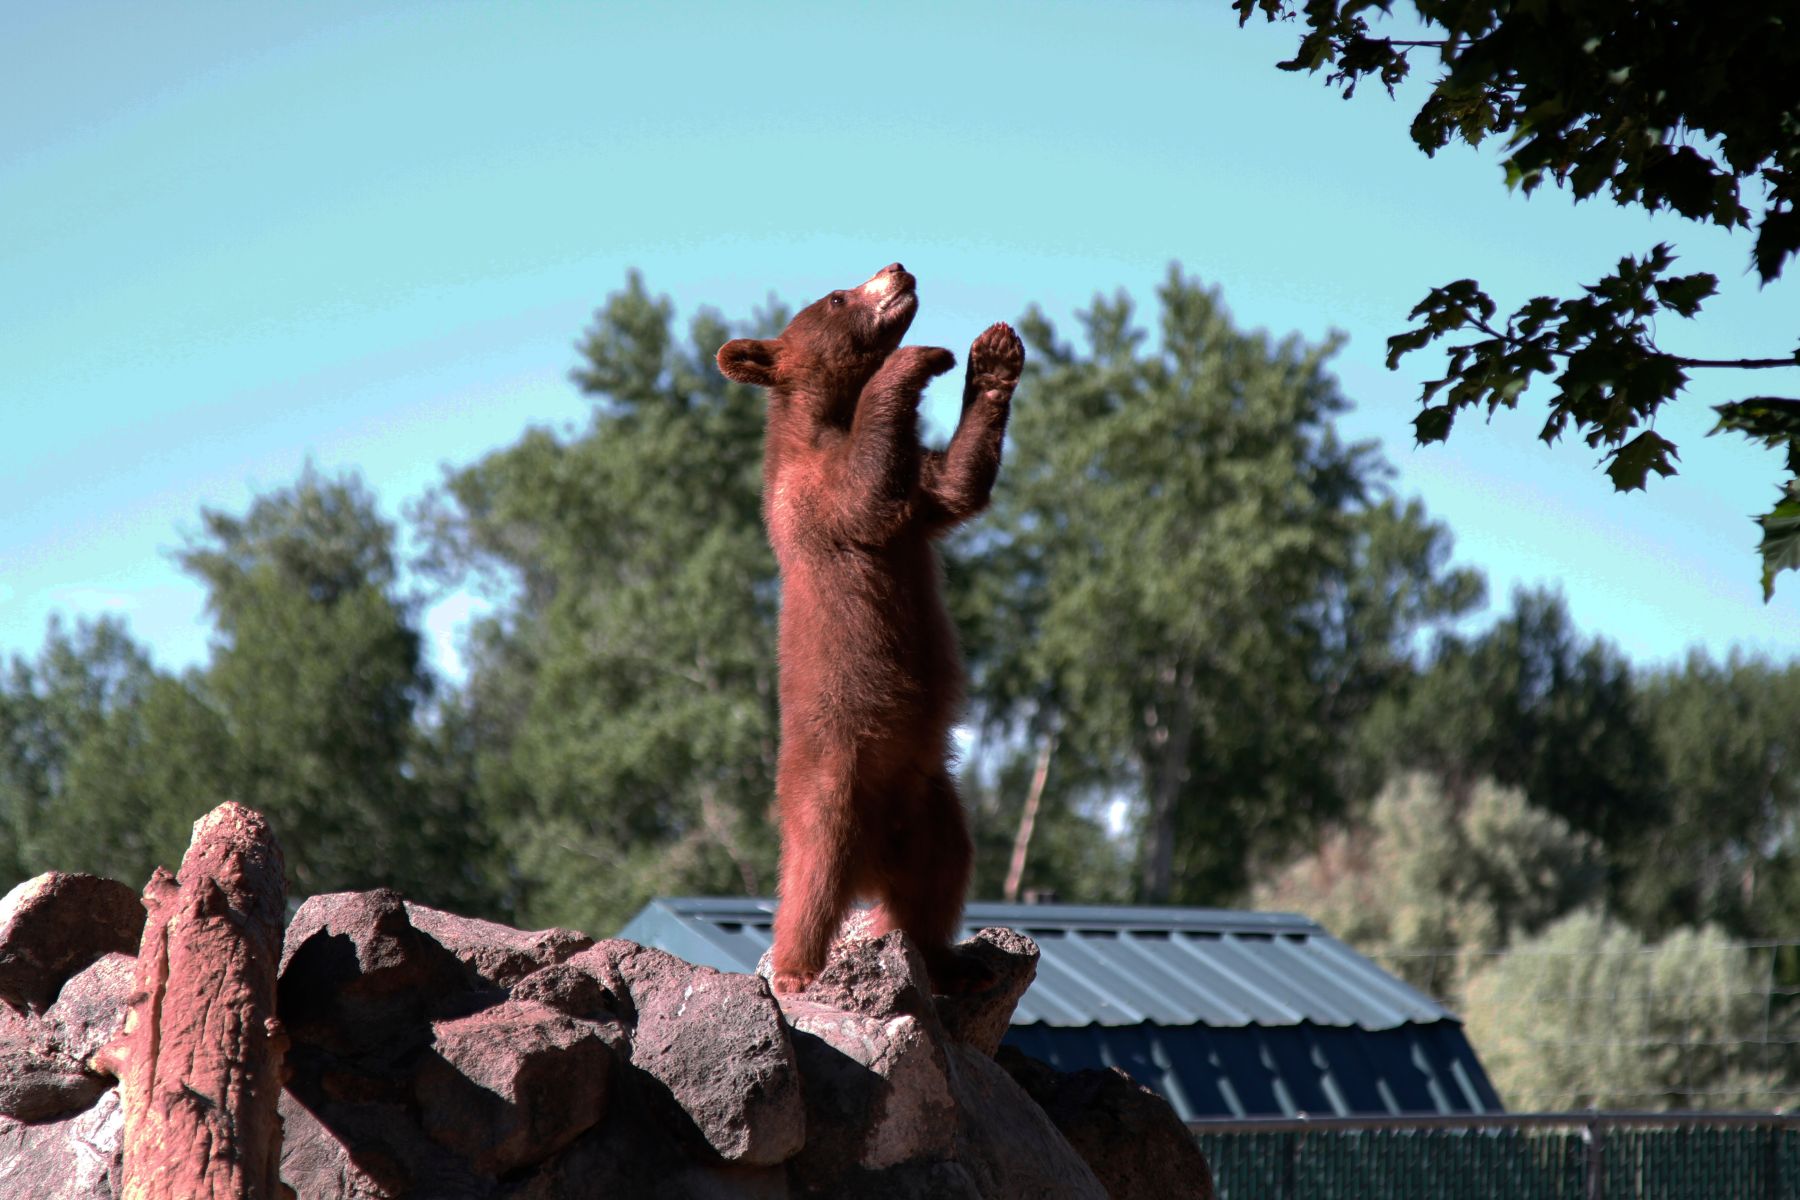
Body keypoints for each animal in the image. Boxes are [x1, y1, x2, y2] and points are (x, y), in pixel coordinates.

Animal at [716, 263, 1023, 995]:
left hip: (935, 808)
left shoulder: (920, 494)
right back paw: (796, 971)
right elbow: (865, 484)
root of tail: (876, 857)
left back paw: (945, 956)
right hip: (826, 783)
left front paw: (994, 356)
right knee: (810, 878)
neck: (826, 417)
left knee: (944, 875)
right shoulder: (811, 492)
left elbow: (957, 483)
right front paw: (918, 358)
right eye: (836, 297)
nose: (897, 269)